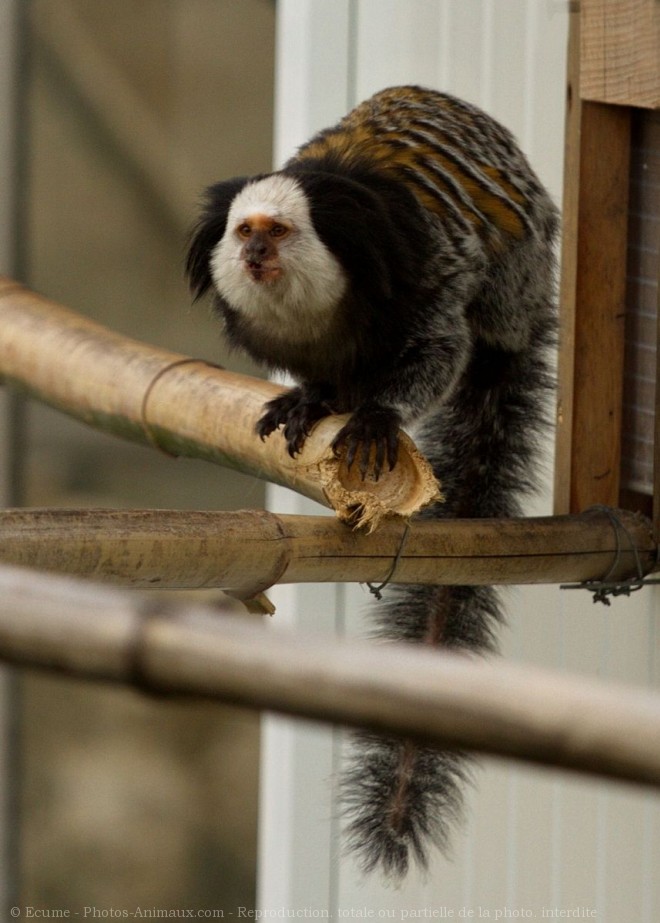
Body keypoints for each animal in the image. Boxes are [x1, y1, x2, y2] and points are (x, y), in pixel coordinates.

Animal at [187, 85, 556, 880]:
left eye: (278, 232)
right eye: (244, 232)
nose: (254, 253)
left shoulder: (424, 275)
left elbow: (440, 341)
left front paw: (379, 413)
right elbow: (313, 374)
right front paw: (313, 398)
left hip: (522, 275)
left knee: (492, 322)